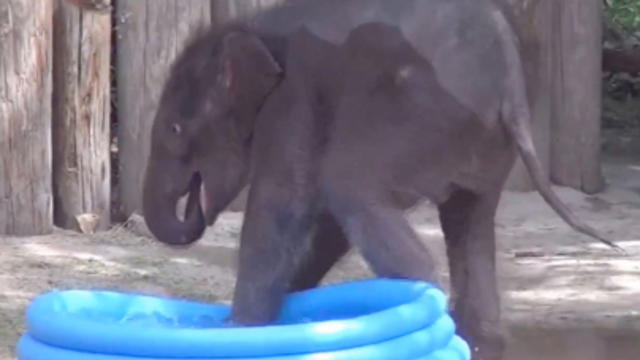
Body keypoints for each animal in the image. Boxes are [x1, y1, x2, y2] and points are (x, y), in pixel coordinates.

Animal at [66, 1, 620, 358]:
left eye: (176, 129)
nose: (192, 210)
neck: (249, 30)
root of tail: (512, 89)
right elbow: (320, 221)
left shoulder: (295, 98)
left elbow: (284, 203)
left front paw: (240, 328)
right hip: (483, 146)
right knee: (470, 221)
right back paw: (479, 340)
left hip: (422, 114)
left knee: (353, 185)